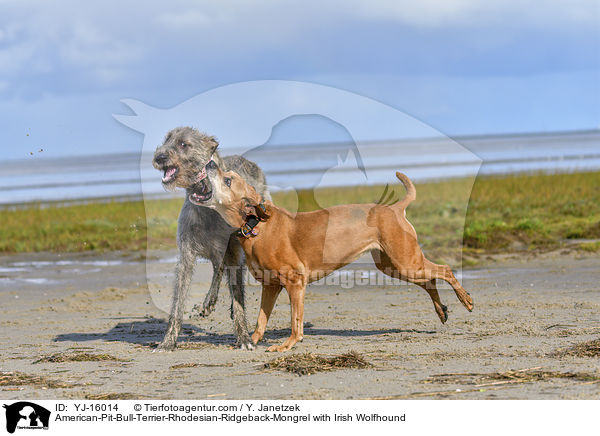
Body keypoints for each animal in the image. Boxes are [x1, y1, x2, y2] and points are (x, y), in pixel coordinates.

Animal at [151, 127, 270, 350]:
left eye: (183, 144)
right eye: (167, 139)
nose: (159, 157)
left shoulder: (233, 251)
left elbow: (238, 294)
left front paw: (244, 338)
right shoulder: (187, 254)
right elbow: (178, 300)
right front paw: (168, 341)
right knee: (218, 269)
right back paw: (209, 301)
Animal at [197, 166, 474, 350]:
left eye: (228, 179)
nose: (209, 164)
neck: (255, 224)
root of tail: (395, 209)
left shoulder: (295, 282)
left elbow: (295, 320)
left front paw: (287, 345)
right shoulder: (271, 286)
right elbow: (261, 319)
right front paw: (251, 341)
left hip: (406, 262)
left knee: (445, 270)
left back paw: (466, 300)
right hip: (394, 266)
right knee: (431, 280)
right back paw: (442, 311)